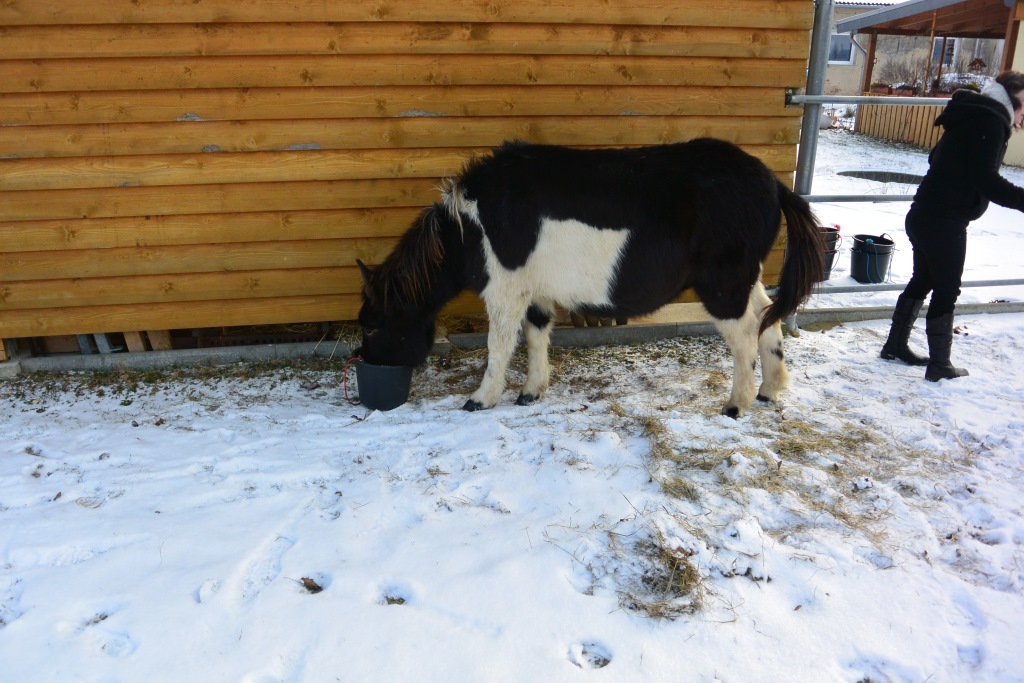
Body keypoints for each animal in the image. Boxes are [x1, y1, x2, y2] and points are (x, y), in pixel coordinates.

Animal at [356, 139, 819, 417]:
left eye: (374, 324)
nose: (368, 364)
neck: (471, 225)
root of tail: (773, 184)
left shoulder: (505, 288)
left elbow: (499, 344)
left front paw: (480, 399)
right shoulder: (535, 290)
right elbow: (537, 334)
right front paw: (531, 392)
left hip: (723, 283)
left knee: (744, 334)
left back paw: (736, 405)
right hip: (746, 276)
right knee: (767, 314)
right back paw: (770, 391)